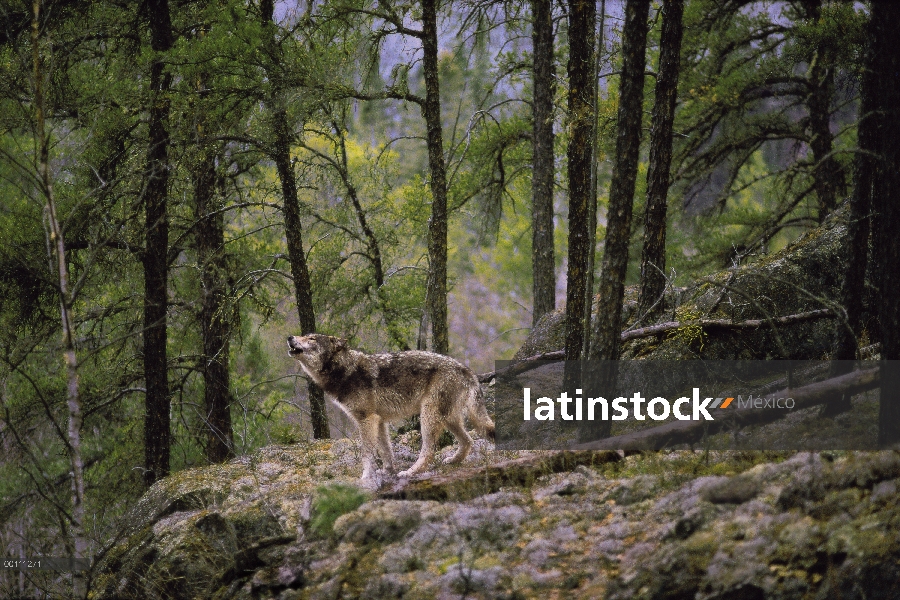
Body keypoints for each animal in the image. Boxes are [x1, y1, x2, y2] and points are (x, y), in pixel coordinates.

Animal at [288, 336, 496, 480]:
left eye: (311, 338)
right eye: (304, 335)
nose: (290, 337)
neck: (346, 372)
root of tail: (466, 370)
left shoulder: (367, 420)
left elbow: (367, 453)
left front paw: (365, 477)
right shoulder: (379, 421)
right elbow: (385, 451)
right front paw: (387, 472)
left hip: (428, 417)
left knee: (429, 451)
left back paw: (410, 472)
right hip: (449, 420)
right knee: (468, 440)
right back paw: (453, 461)